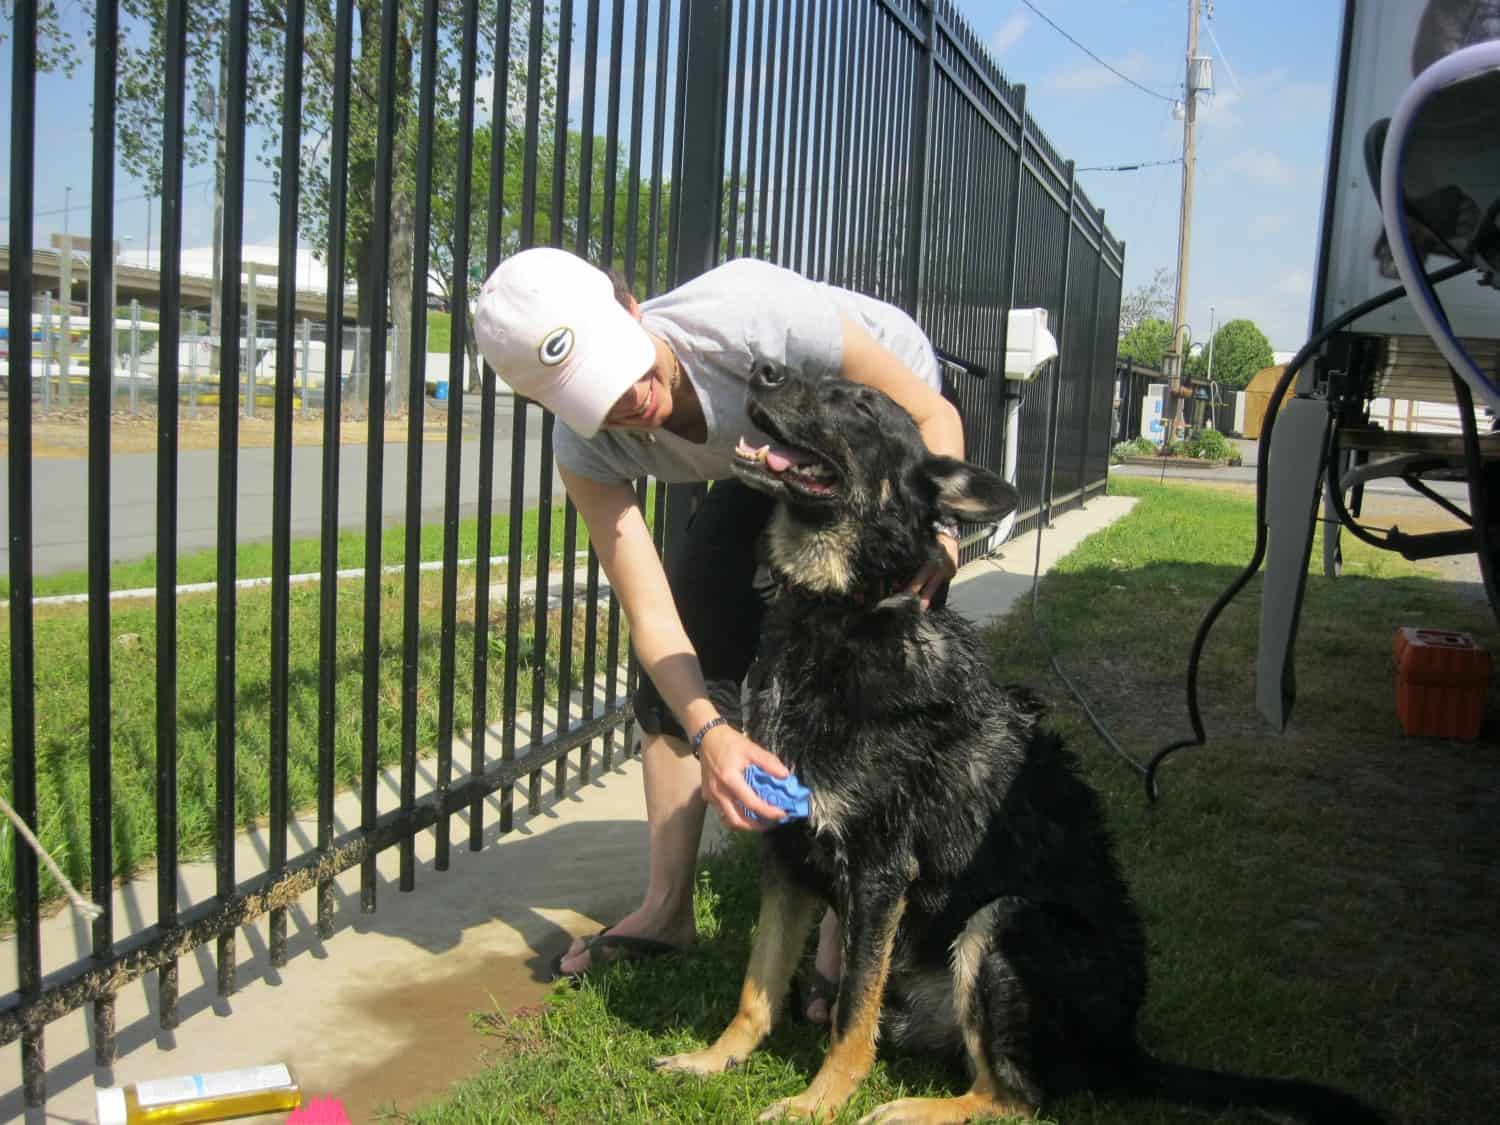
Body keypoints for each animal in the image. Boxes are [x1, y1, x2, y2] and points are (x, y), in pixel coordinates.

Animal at [651, 363, 1386, 1125]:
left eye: (860, 404)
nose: (762, 369)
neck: (841, 613)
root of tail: (1126, 1047)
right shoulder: (787, 859)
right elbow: (757, 984)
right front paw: (715, 1058)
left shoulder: (880, 873)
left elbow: (853, 1010)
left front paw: (818, 1101)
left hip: (1000, 922)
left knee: (1016, 1096)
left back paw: (914, 1108)